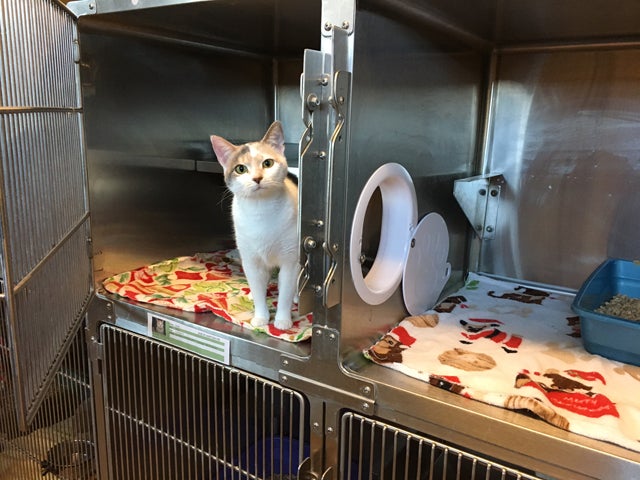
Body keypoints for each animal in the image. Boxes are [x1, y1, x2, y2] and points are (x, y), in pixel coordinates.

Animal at [211, 121, 298, 330]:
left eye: (267, 163)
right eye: (240, 169)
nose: (257, 178)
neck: (261, 210)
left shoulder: (290, 260)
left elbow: (285, 293)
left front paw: (282, 320)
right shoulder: (251, 260)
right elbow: (259, 291)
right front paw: (260, 317)